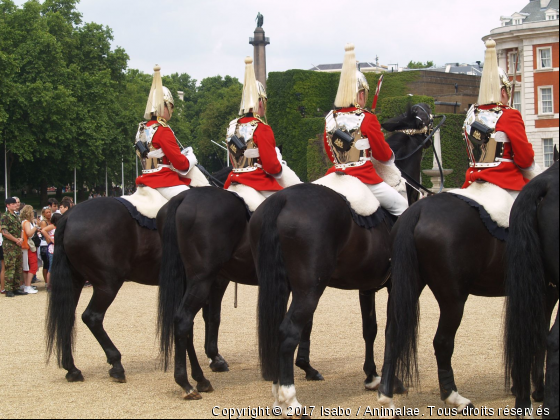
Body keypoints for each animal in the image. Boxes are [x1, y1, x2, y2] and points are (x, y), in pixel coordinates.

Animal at [44, 167, 234, 384]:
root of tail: (67, 216)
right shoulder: (215, 279)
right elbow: (213, 316)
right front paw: (215, 358)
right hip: (107, 284)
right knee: (92, 317)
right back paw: (116, 363)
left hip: (75, 282)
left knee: (67, 318)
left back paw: (72, 369)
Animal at [252, 103, 430, 412]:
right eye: (420, 115)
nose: (430, 112)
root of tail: (282, 199)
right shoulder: (395, 285)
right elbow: (391, 330)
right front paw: (392, 383)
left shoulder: (367, 286)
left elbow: (370, 328)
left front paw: (371, 375)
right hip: (309, 290)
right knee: (288, 332)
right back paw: (290, 398)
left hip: (281, 285)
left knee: (275, 331)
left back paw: (278, 392)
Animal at [378, 166, 556, 412]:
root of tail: (419, 209)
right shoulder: (547, 291)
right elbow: (540, 335)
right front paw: (537, 389)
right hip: (454, 300)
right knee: (442, 341)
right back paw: (454, 396)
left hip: (408, 287)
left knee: (392, 333)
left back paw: (386, 395)